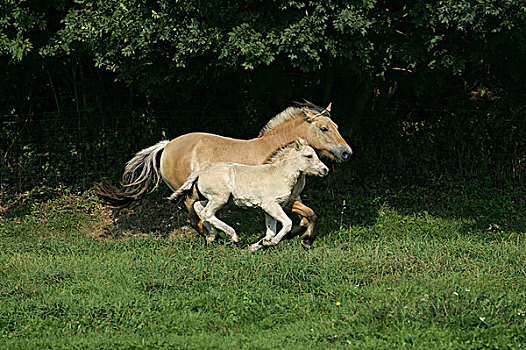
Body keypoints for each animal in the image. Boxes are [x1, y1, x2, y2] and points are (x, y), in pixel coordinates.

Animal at [170, 139, 330, 252]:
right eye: (308, 156)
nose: (325, 170)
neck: (279, 174)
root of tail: (201, 171)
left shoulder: (269, 209)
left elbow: (271, 232)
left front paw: (258, 245)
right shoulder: (270, 205)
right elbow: (287, 224)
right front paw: (271, 243)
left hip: (215, 199)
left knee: (199, 207)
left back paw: (212, 236)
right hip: (219, 199)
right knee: (207, 213)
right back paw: (232, 236)